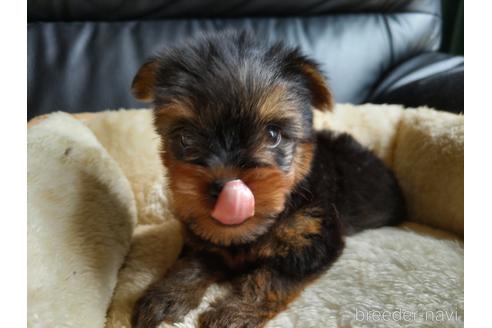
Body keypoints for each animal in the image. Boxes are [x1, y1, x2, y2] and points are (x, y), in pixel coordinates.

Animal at [129, 31, 406, 328]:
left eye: (273, 135)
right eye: (186, 138)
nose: (225, 187)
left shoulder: (313, 238)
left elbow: (270, 278)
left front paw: (235, 312)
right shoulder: (203, 239)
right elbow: (190, 263)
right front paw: (166, 295)